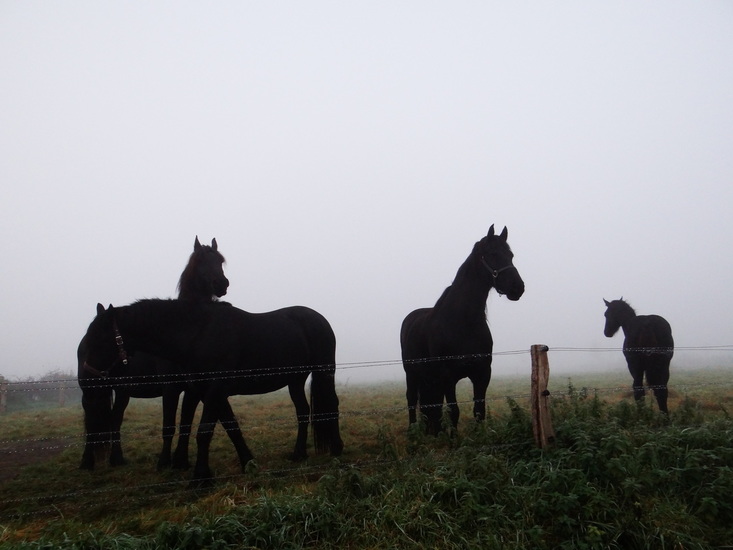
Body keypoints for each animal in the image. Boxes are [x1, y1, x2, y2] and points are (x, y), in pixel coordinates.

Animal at [77, 237, 228, 470]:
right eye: (201, 261)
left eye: (220, 261)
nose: (221, 284)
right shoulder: (170, 388)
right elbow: (169, 426)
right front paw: (164, 462)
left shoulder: (192, 390)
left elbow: (185, 424)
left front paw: (181, 461)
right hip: (91, 391)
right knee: (91, 421)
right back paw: (87, 462)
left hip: (121, 391)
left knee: (114, 419)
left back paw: (117, 459)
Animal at [81, 299, 343, 484]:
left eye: (97, 339)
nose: (88, 379)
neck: (197, 335)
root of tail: (320, 319)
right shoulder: (208, 391)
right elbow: (229, 426)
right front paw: (247, 462)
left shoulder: (214, 388)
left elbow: (204, 431)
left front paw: (200, 476)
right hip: (295, 380)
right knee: (302, 411)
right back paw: (299, 454)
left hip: (324, 372)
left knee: (331, 405)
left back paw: (337, 448)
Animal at [401, 225, 525, 435]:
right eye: (492, 254)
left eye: (511, 255)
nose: (518, 287)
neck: (464, 323)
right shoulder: (448, 376)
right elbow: (454, 411)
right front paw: (454, 439)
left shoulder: (482, 373)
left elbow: (479, 410)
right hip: (412, 372)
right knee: (412, 399)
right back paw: (413, 433)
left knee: (430, 404)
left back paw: (433, 431)